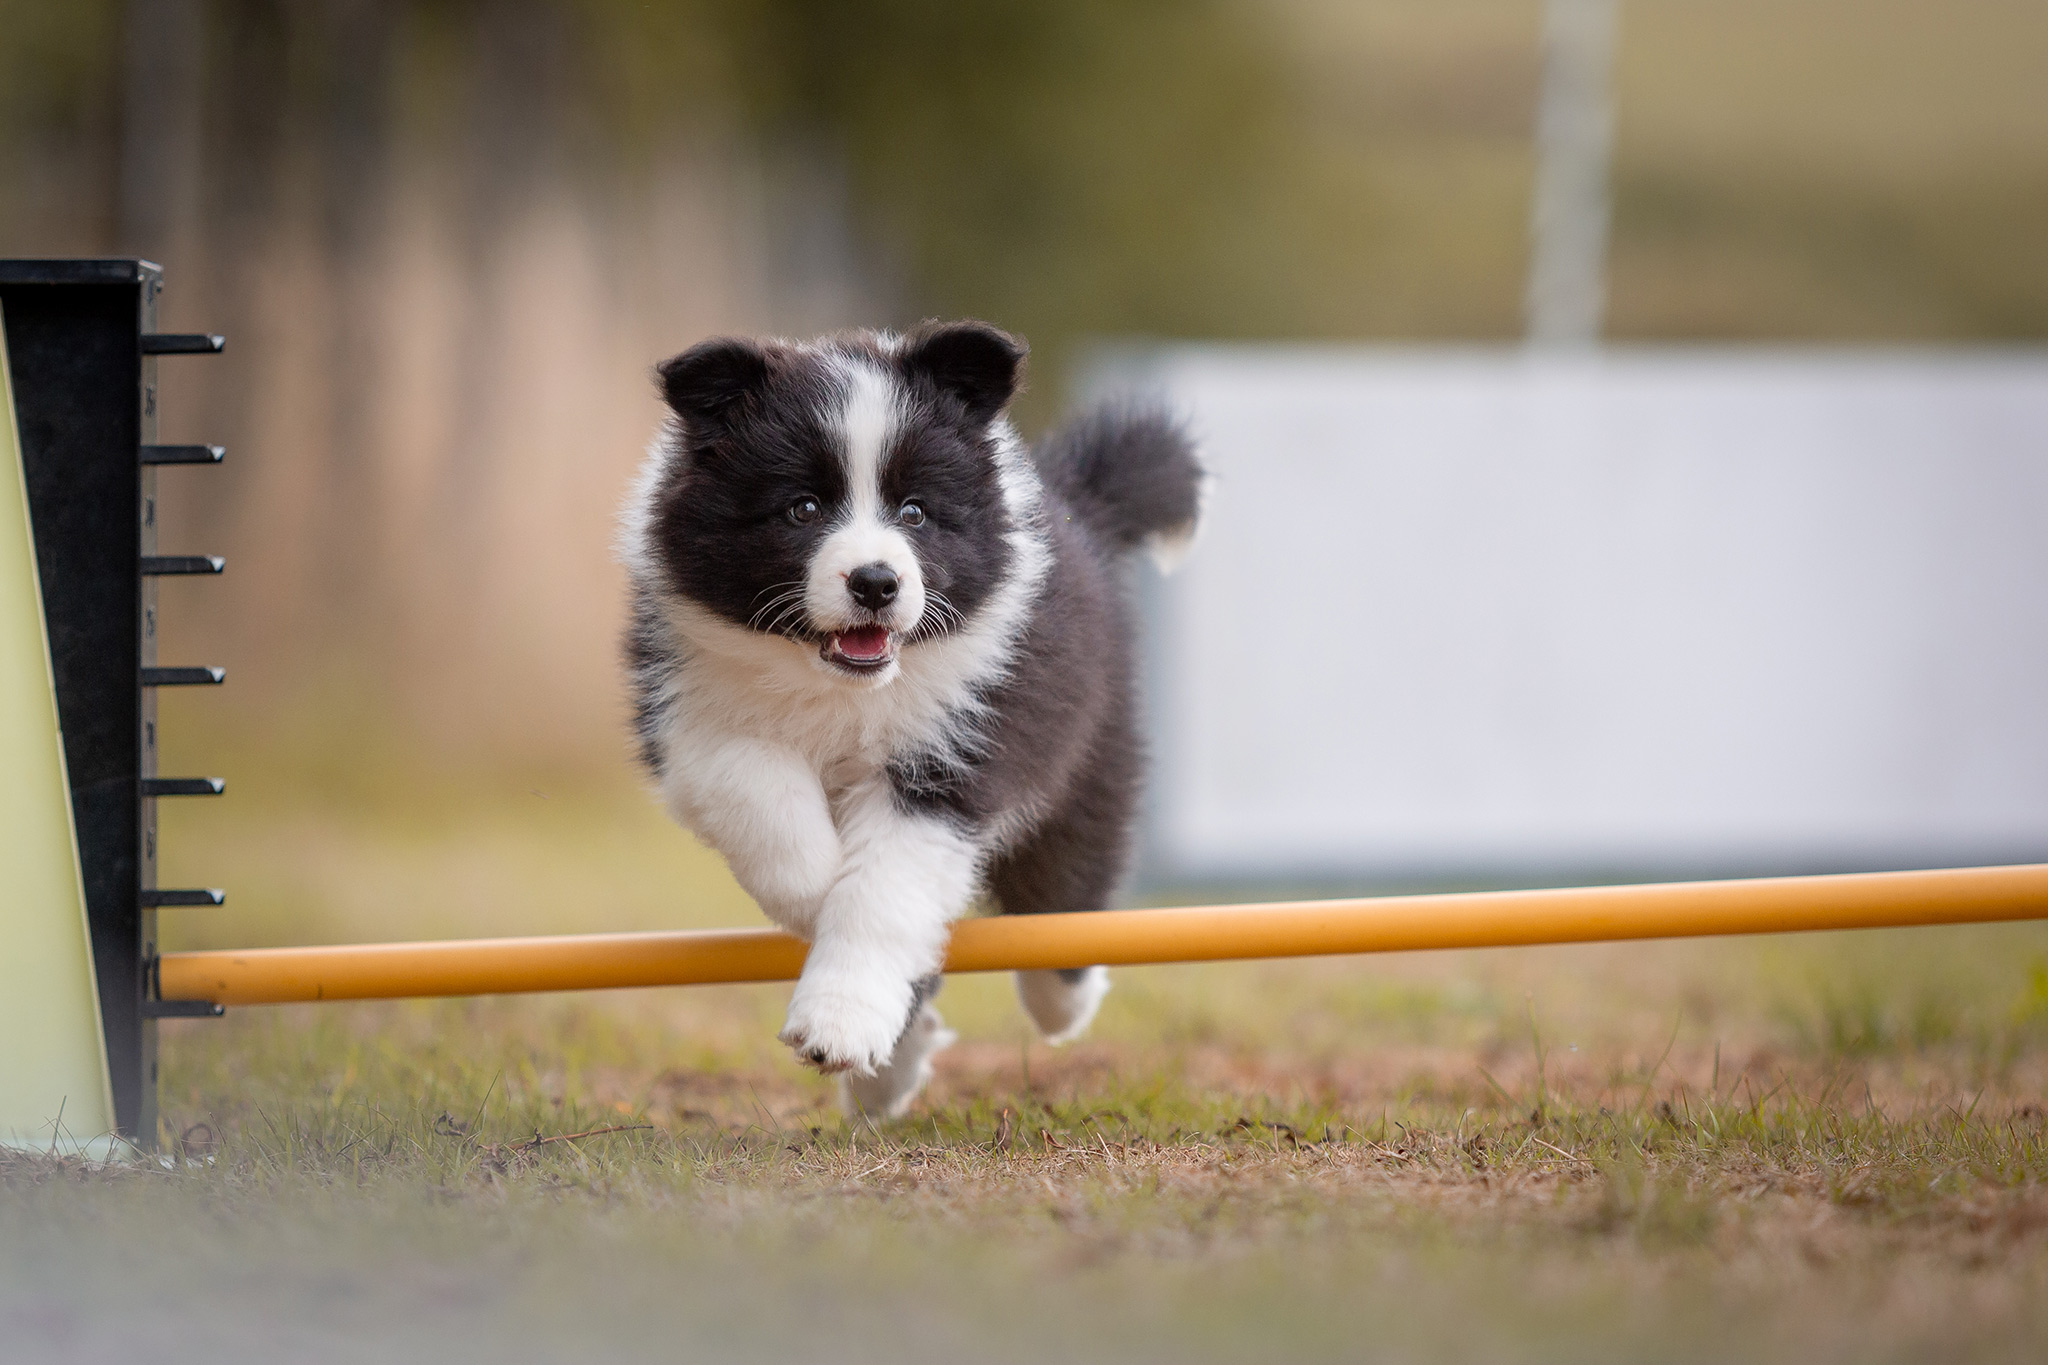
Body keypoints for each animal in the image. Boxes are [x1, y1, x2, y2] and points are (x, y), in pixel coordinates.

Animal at [618, 325, 1196, 1113]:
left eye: (916, 511)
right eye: (802, 508)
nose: (875, 582)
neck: (842, 686)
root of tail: (1084, 509)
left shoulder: (956, 757)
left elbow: (881, 890)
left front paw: (837, 1022)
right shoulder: (689, 708)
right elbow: (757, 788)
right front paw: (815, 891)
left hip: (1089, 769)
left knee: (1064, 891)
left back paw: (1060, 1005)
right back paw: (890, 1072)